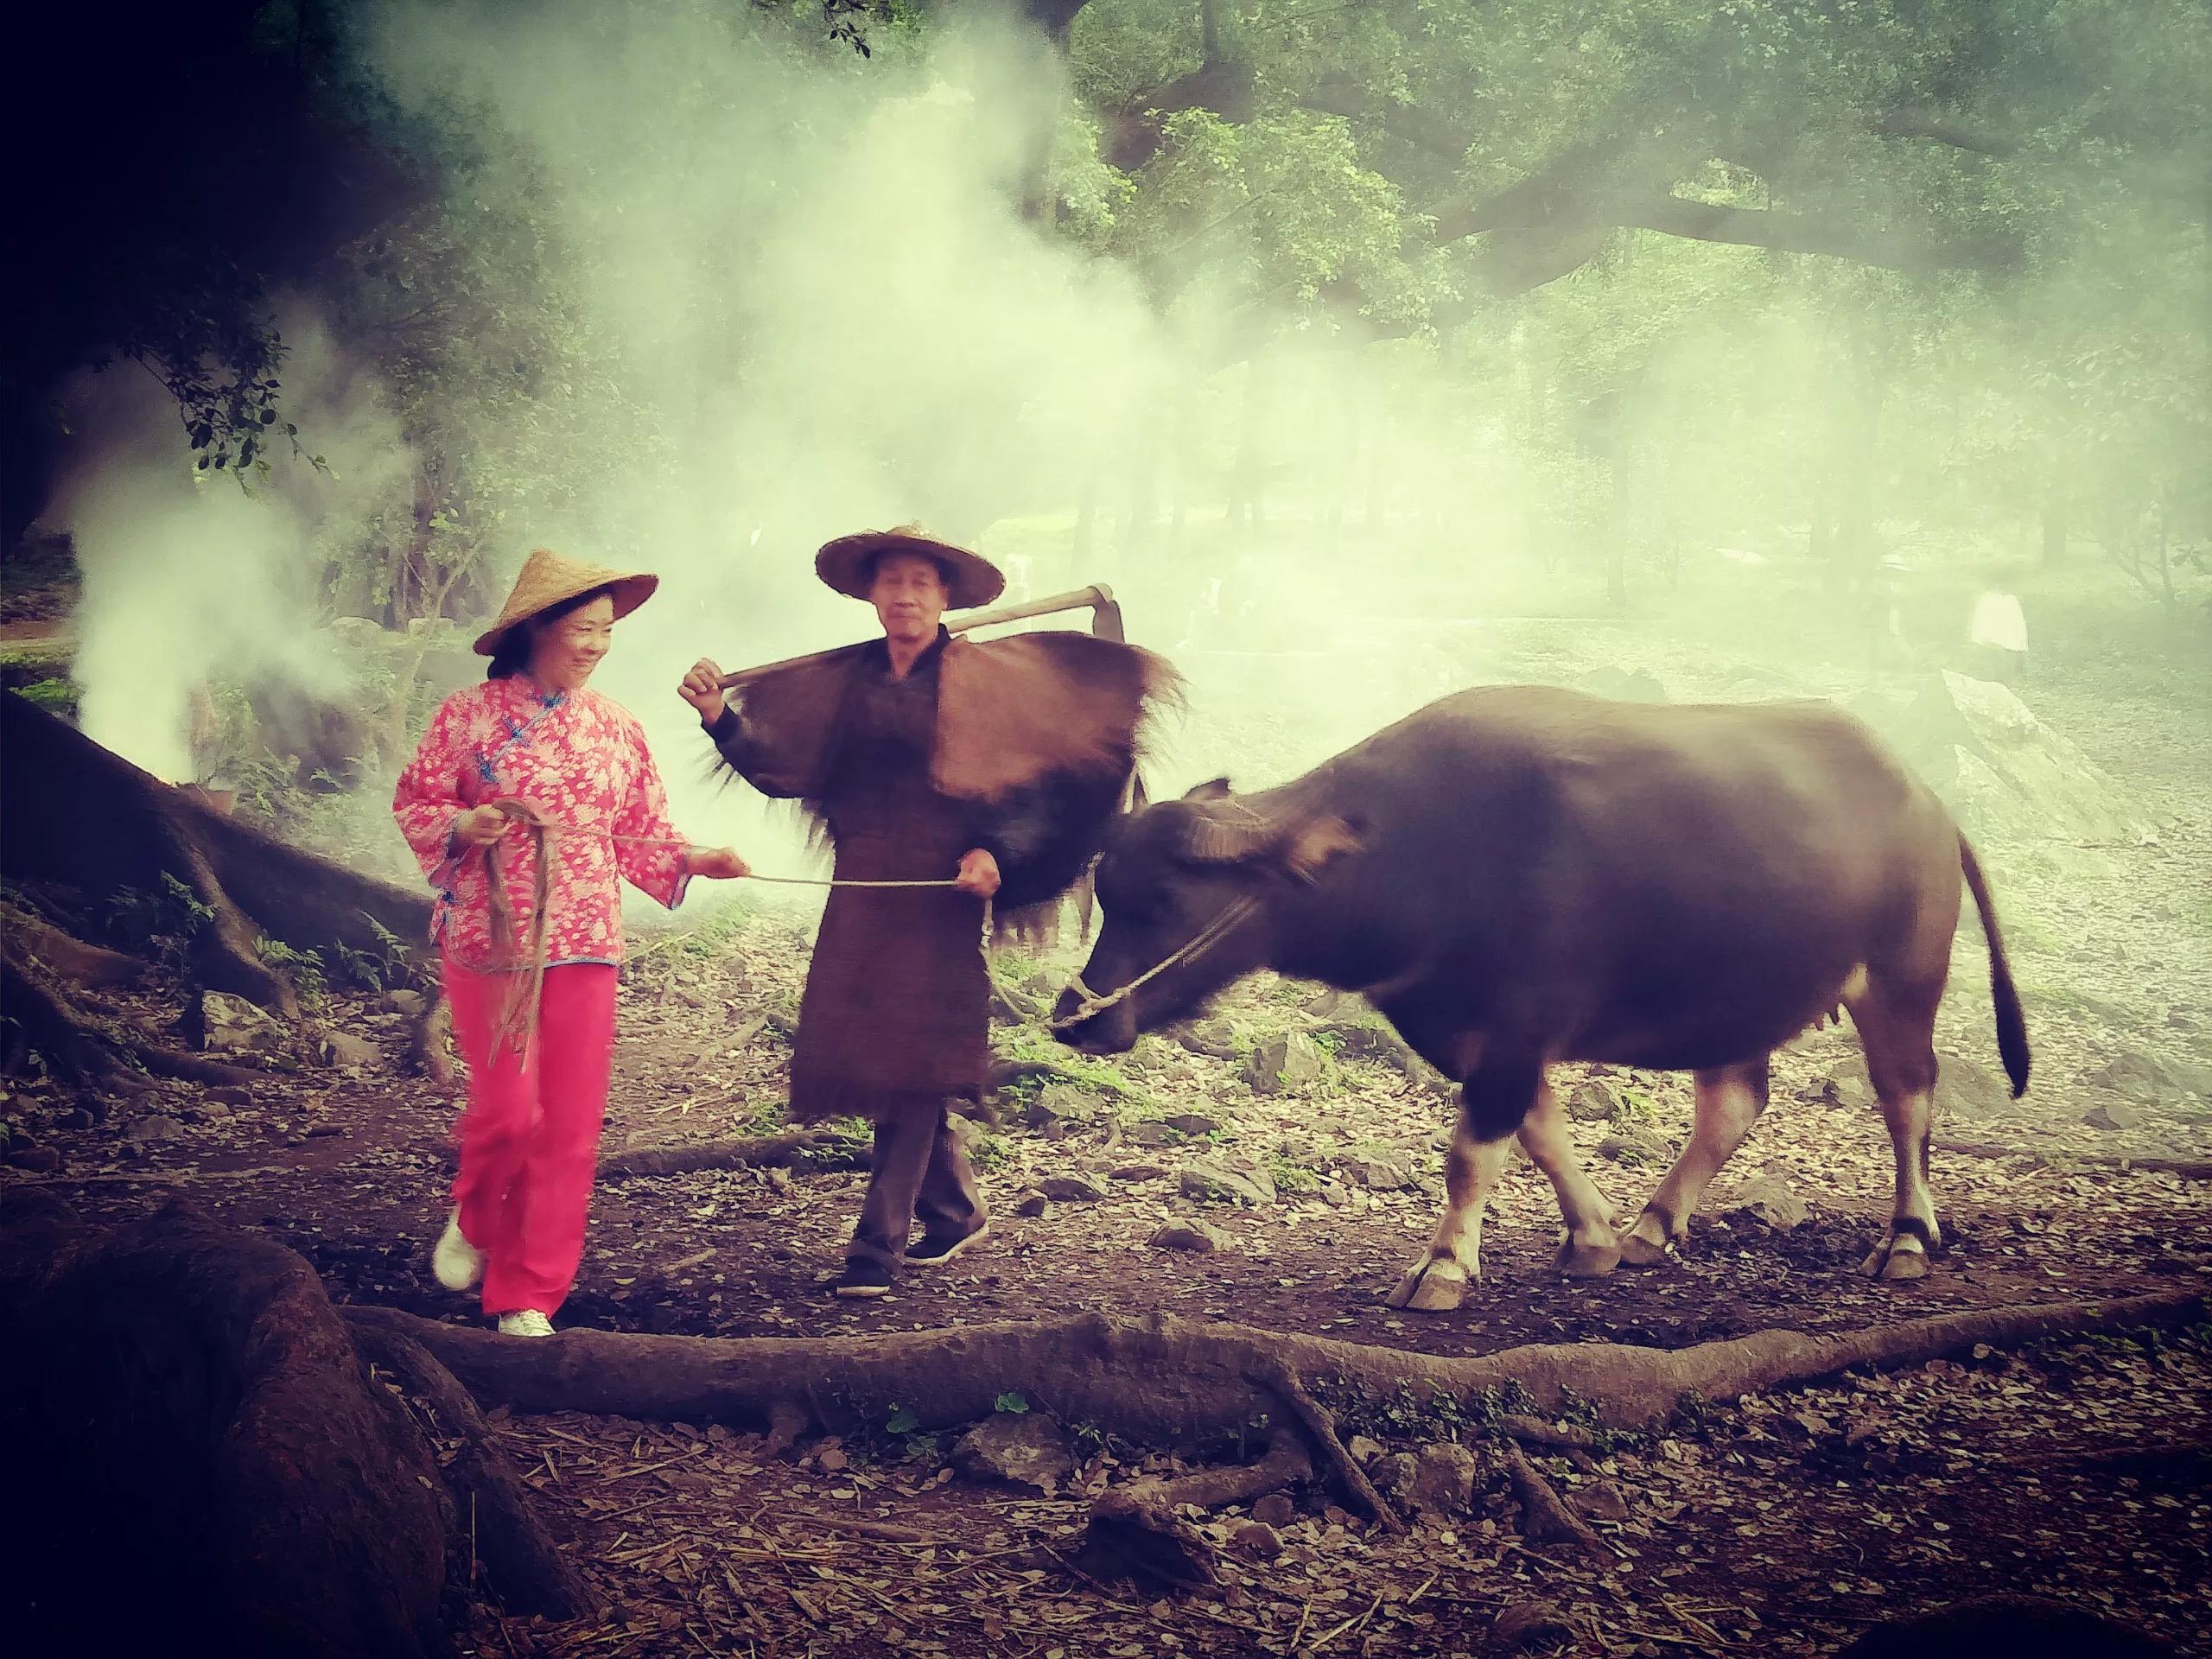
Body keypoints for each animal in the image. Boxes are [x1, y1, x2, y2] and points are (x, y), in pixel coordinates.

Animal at [1052, 690, 2025, 1309]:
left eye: (1162, 900)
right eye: (1107, 892)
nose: (1077, 1017)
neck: (1421, 853)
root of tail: (1929, 805)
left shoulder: (1516, 1030)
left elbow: (1471, 1154)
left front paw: (1443, 1268)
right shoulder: (1471, 1034)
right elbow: (1539, 1133)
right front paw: (1593, 1237)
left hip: (1901, 979)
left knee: (1907, 1097)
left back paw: (1907, 1239)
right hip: (1732, 998)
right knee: (1735, 1100)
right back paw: (1653, 1225)